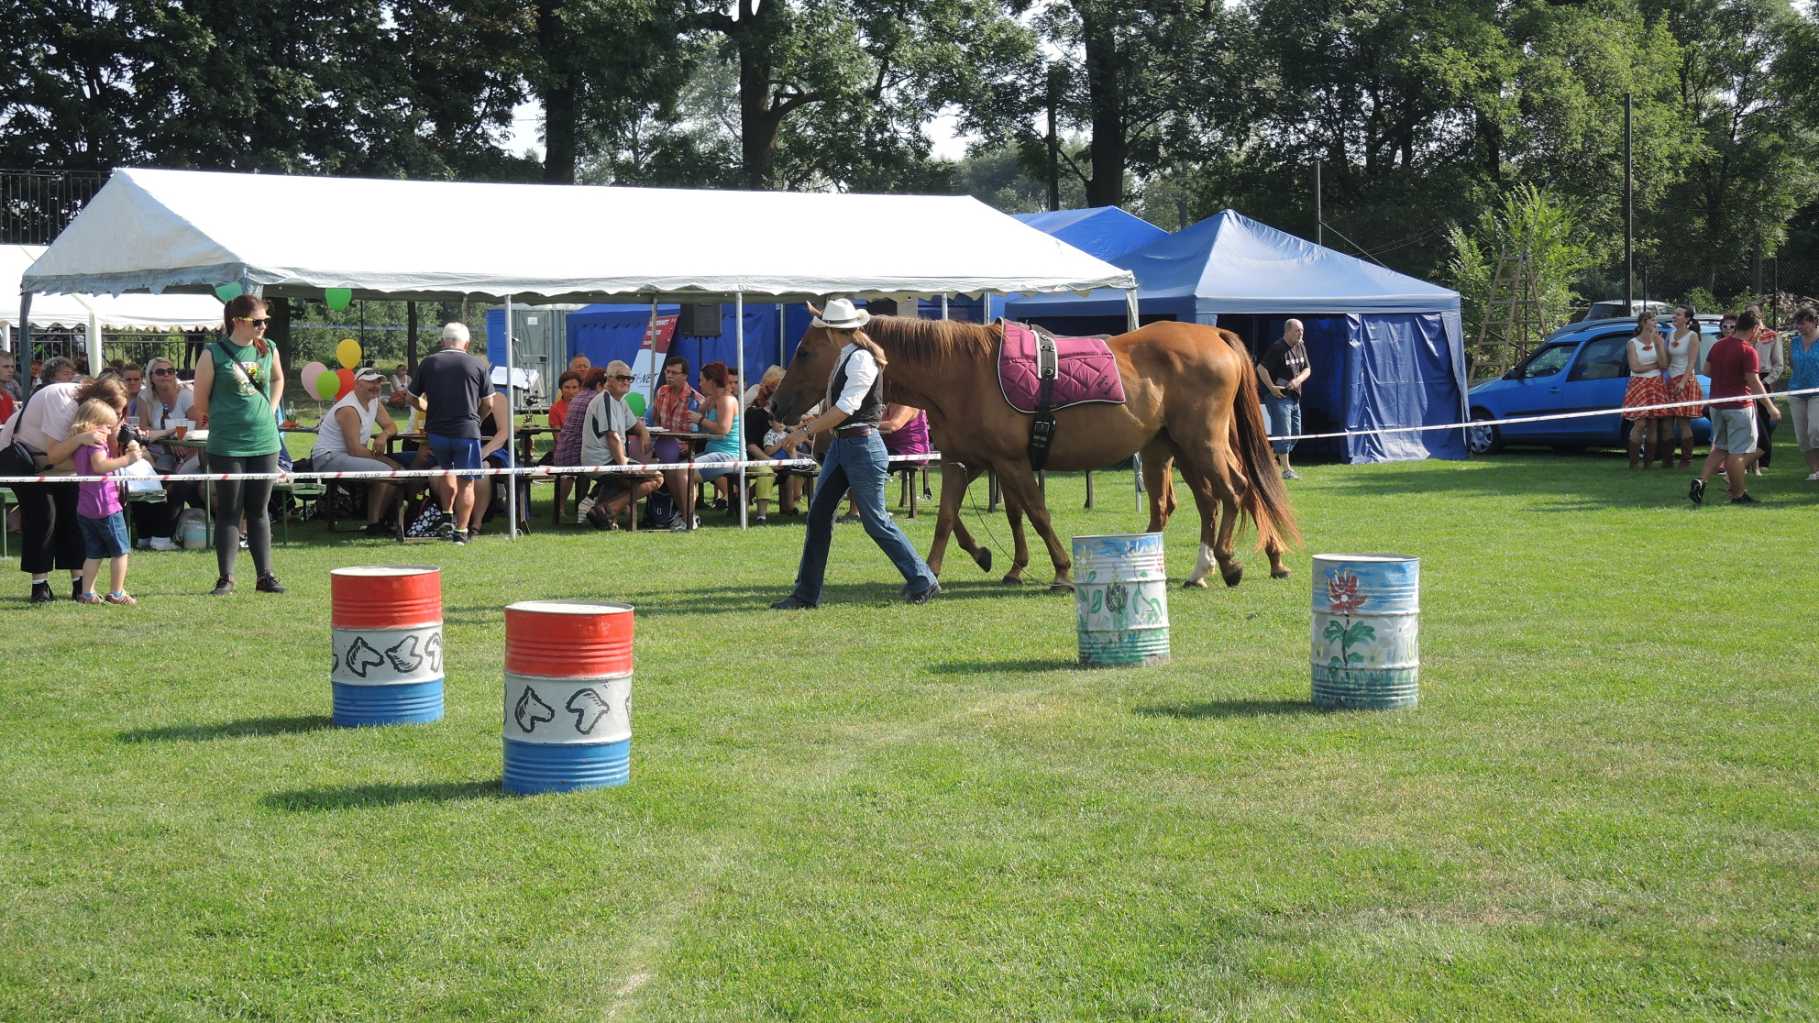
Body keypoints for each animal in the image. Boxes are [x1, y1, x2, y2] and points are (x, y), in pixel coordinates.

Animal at [767, 316, 1295, 589]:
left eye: (805, 351)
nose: (776, 405)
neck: (964, 372)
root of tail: (1212, 334)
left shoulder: (1010, 463)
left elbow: (1036, 514)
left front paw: (1059, 570)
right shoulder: (963, 463)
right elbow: (949, 519)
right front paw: (938, 571)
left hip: (1202, 443)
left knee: (1238, 491)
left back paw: (1230, 562)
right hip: (1177, 447)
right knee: (1210, 500)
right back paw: (1206, 567)